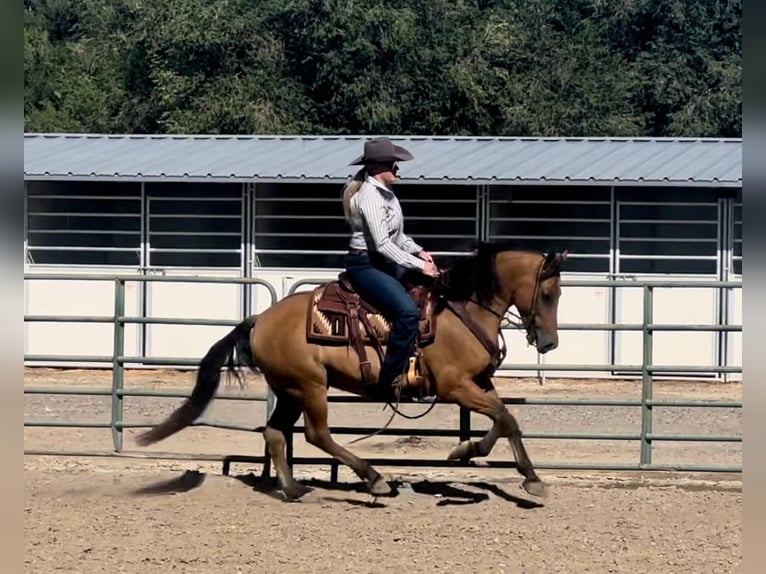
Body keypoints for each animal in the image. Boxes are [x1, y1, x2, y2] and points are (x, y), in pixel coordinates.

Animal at [136, 242, 568, 500]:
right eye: (548, 293)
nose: (549, 343)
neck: (461, 311)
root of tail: (260, 319)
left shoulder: (479, 382)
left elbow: (504, 420)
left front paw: (478, 454)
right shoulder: (455, 386)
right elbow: (505, 417)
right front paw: (524, 476)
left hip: (290, 389)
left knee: (276, 432)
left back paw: (293, 489)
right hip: (310, 385)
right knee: (316, 434)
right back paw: (374, 478)